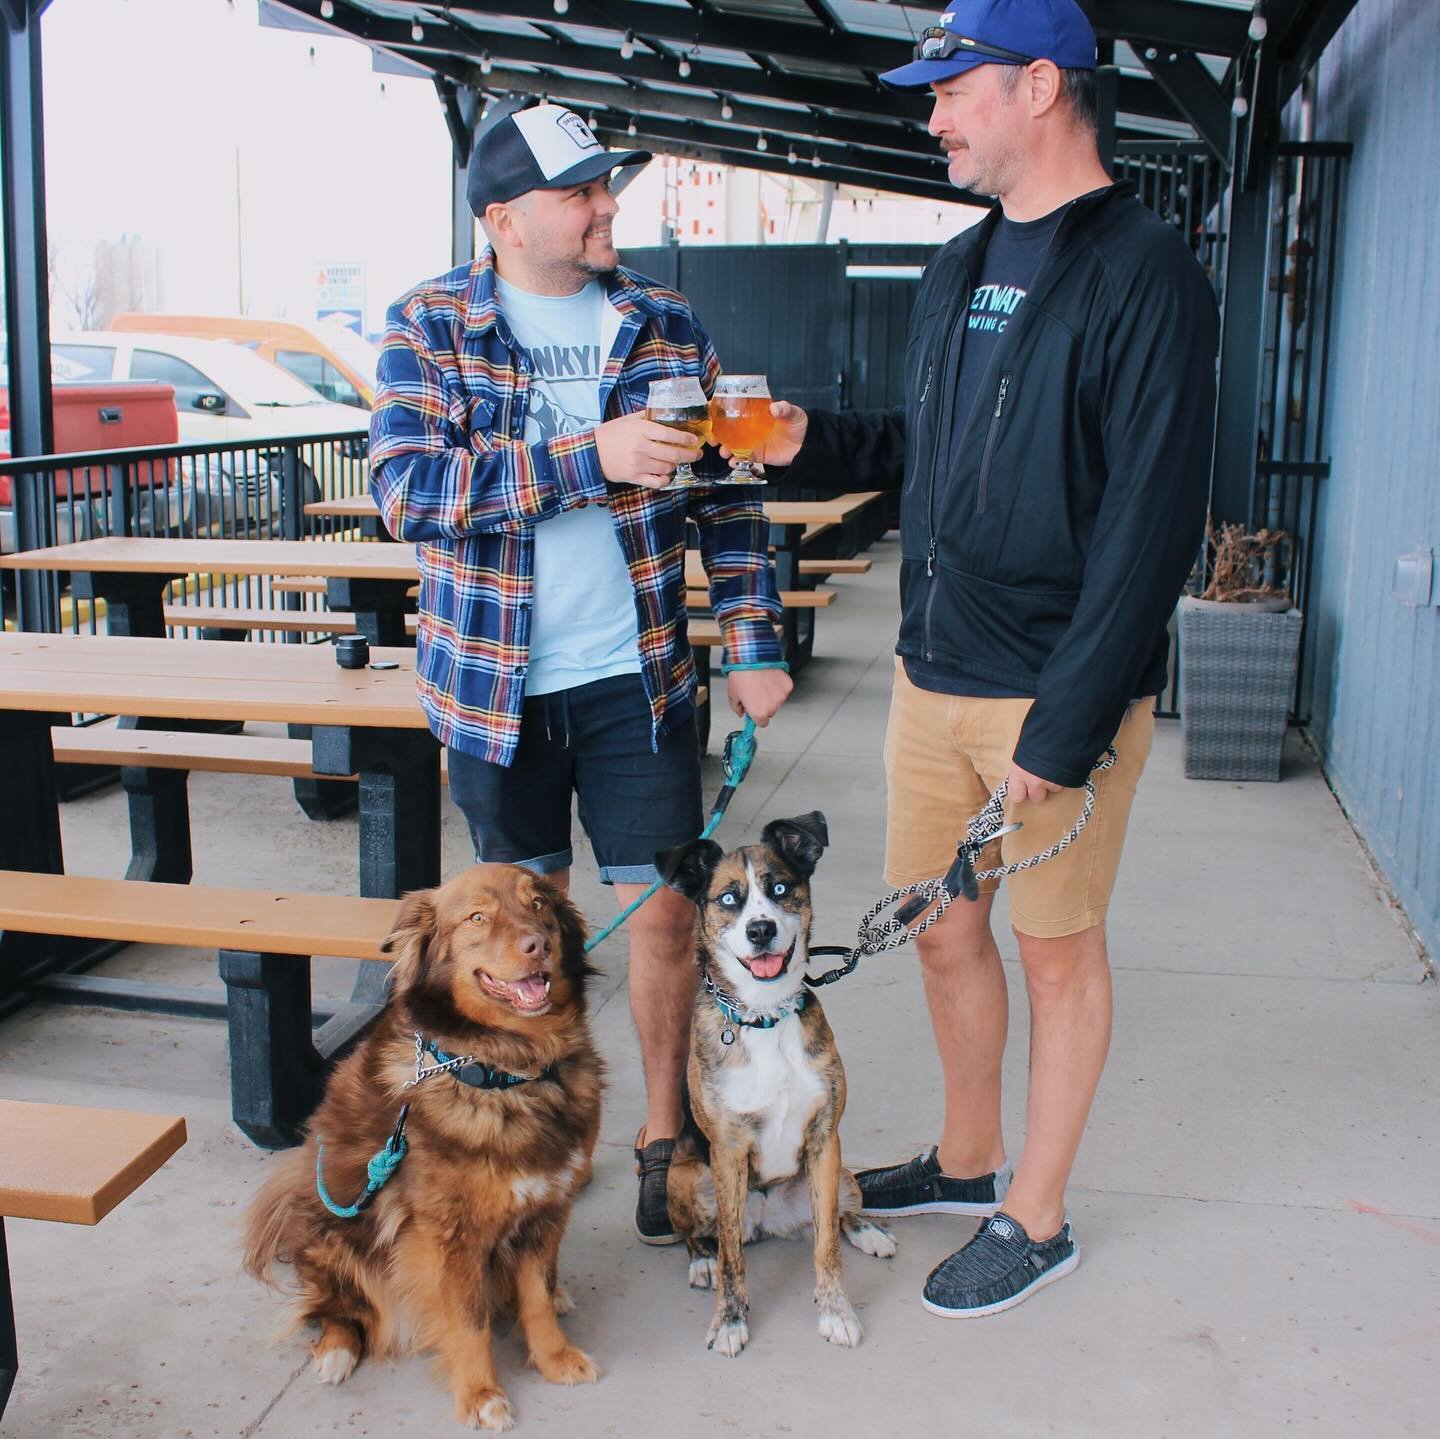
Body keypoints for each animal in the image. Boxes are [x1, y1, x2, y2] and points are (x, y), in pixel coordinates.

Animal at [244, 858, 604, 1434]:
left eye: (539, 905)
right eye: (477, 917)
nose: (539, 945)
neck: (506, 1072)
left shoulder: (546, 1212)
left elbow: (536, 1296)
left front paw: (554, 1358)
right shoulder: (448, 1237)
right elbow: (469, 1320)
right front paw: (481, 1395)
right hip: (333, 1237)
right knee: (338, 1309)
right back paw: (336, 1352)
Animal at [659, 818, 892, 1354]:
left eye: (780, 888)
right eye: (728, 898)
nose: (760, 929)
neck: (765, 1015)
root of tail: (766, 1220)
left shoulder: (825, 1137)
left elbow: (826, 1245)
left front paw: (836, 1312)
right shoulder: (726, 1151)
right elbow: (731, 1258)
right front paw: (729, 1321)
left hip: (841, 1173)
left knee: (839, 1214)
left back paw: (868, 1231)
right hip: (687, 1177)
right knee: (704, 1236)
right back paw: (701, 1260)